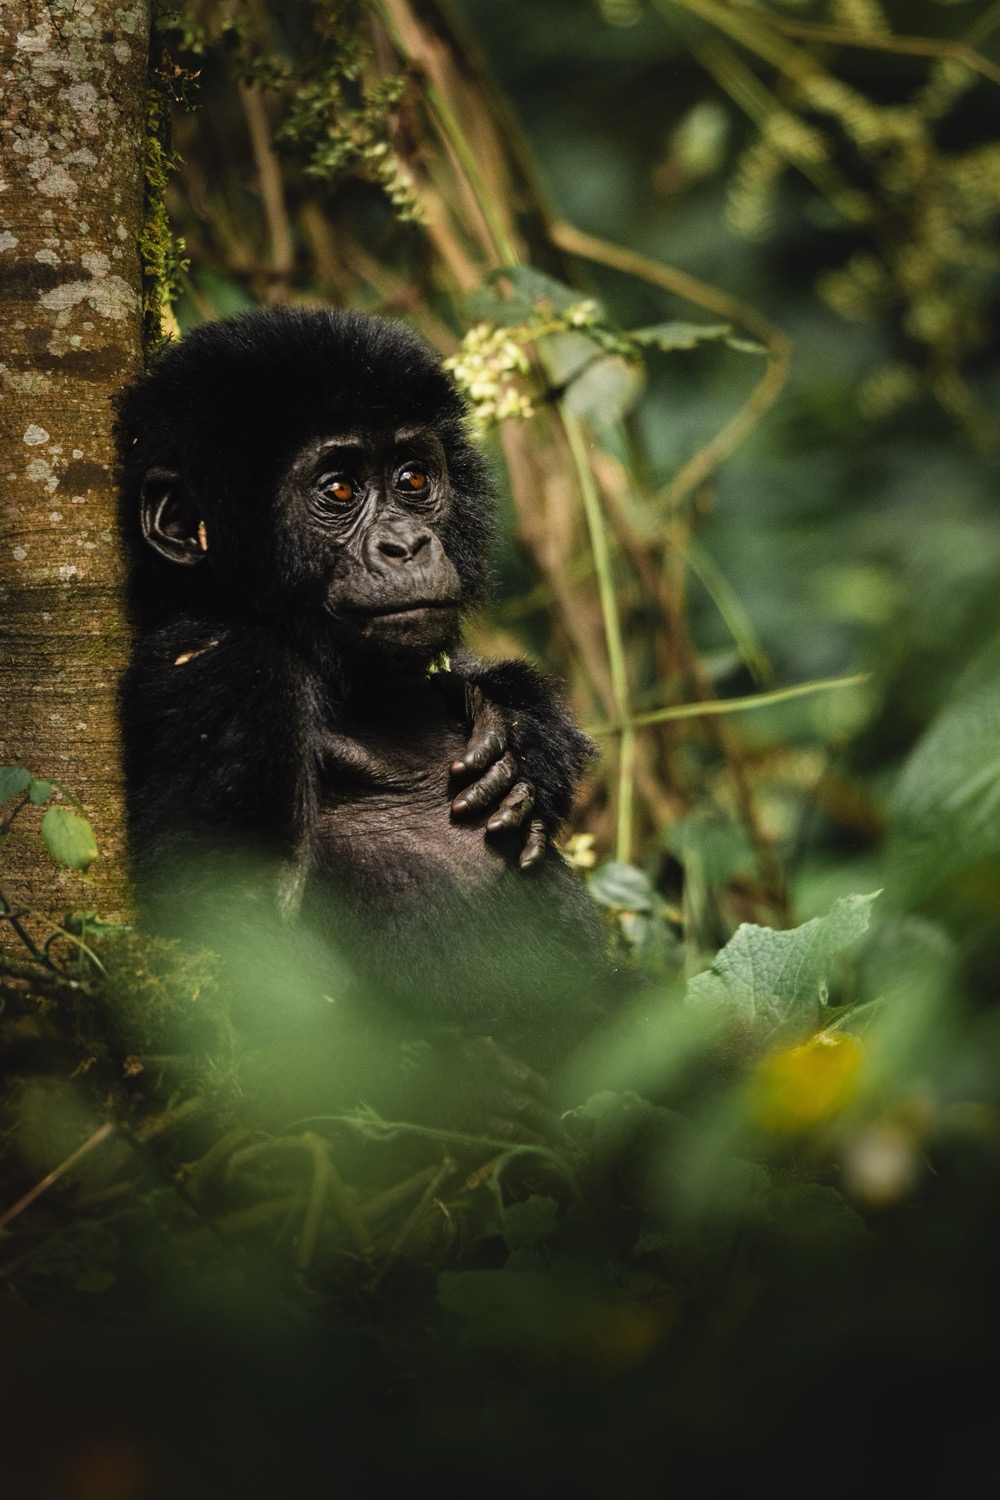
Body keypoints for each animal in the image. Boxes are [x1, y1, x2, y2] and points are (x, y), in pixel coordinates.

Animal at [115, 307, 611, 1137]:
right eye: (340, 489)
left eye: (413, 480)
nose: (406, 544)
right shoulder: (227, 671)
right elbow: (230, 929)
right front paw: (461, 1082)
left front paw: (524, 737)